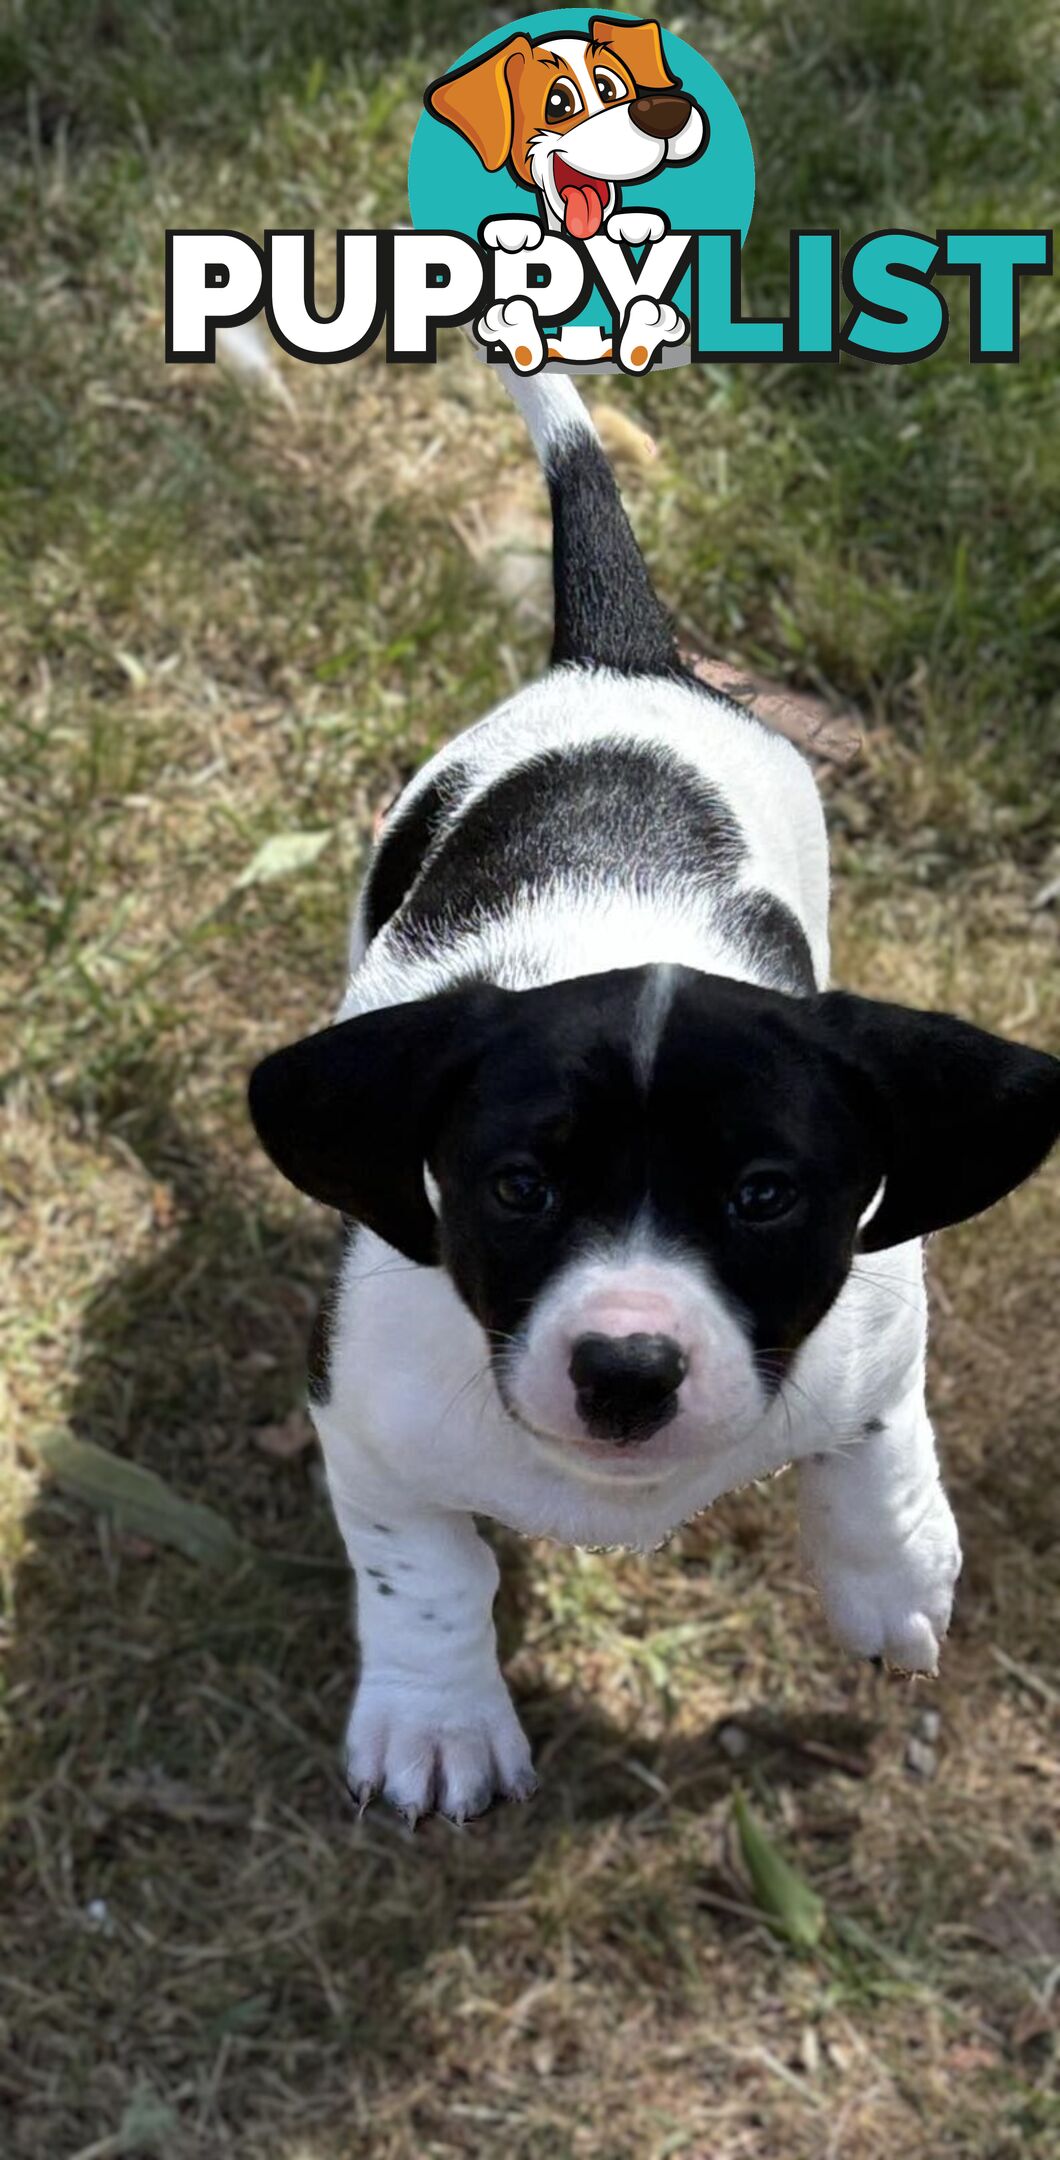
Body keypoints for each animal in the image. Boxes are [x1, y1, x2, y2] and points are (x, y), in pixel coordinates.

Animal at [251, 375, 1060, 1823]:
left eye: (764, 1196)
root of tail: (617, 666)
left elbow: (875, 1438)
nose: (627, 1366)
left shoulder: (878, 1308)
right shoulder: (363, 1421)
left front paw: (894, 1572)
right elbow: (428, 1570)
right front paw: (438, 1718)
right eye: (519, 1188)